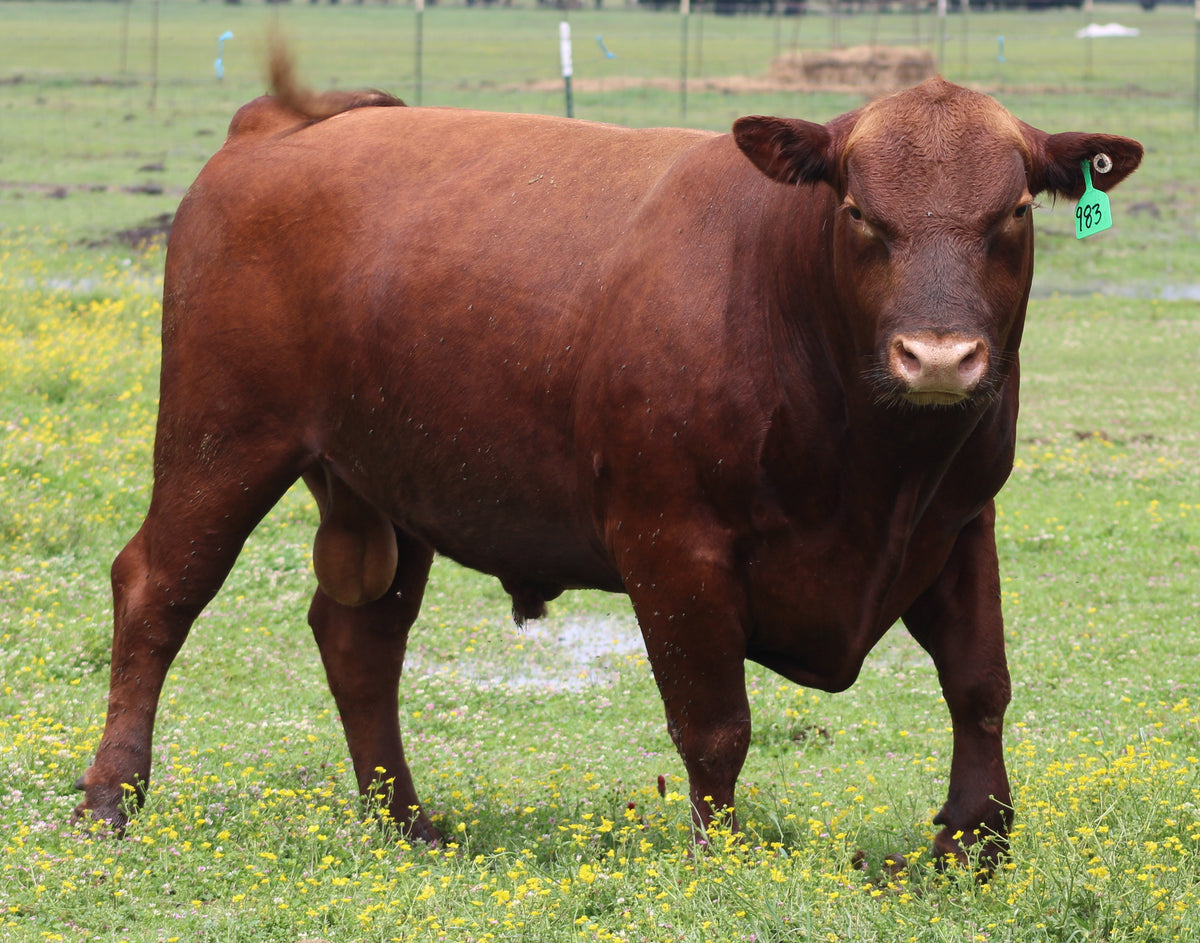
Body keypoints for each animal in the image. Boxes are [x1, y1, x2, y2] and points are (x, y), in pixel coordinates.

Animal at [74, 51, 1142, 867]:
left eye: (1013, 212)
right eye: (858, 213)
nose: (938, 357)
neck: (875, 463)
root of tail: (276, 128)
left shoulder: (960, 521)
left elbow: (980, 685)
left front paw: (974, 845)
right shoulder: (672, 544)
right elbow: (715, 722)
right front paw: (727, 863)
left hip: (385, 477)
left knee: (359, 640)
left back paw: (405, 820)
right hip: (221, 441)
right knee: (156, 592)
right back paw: (109, 801)